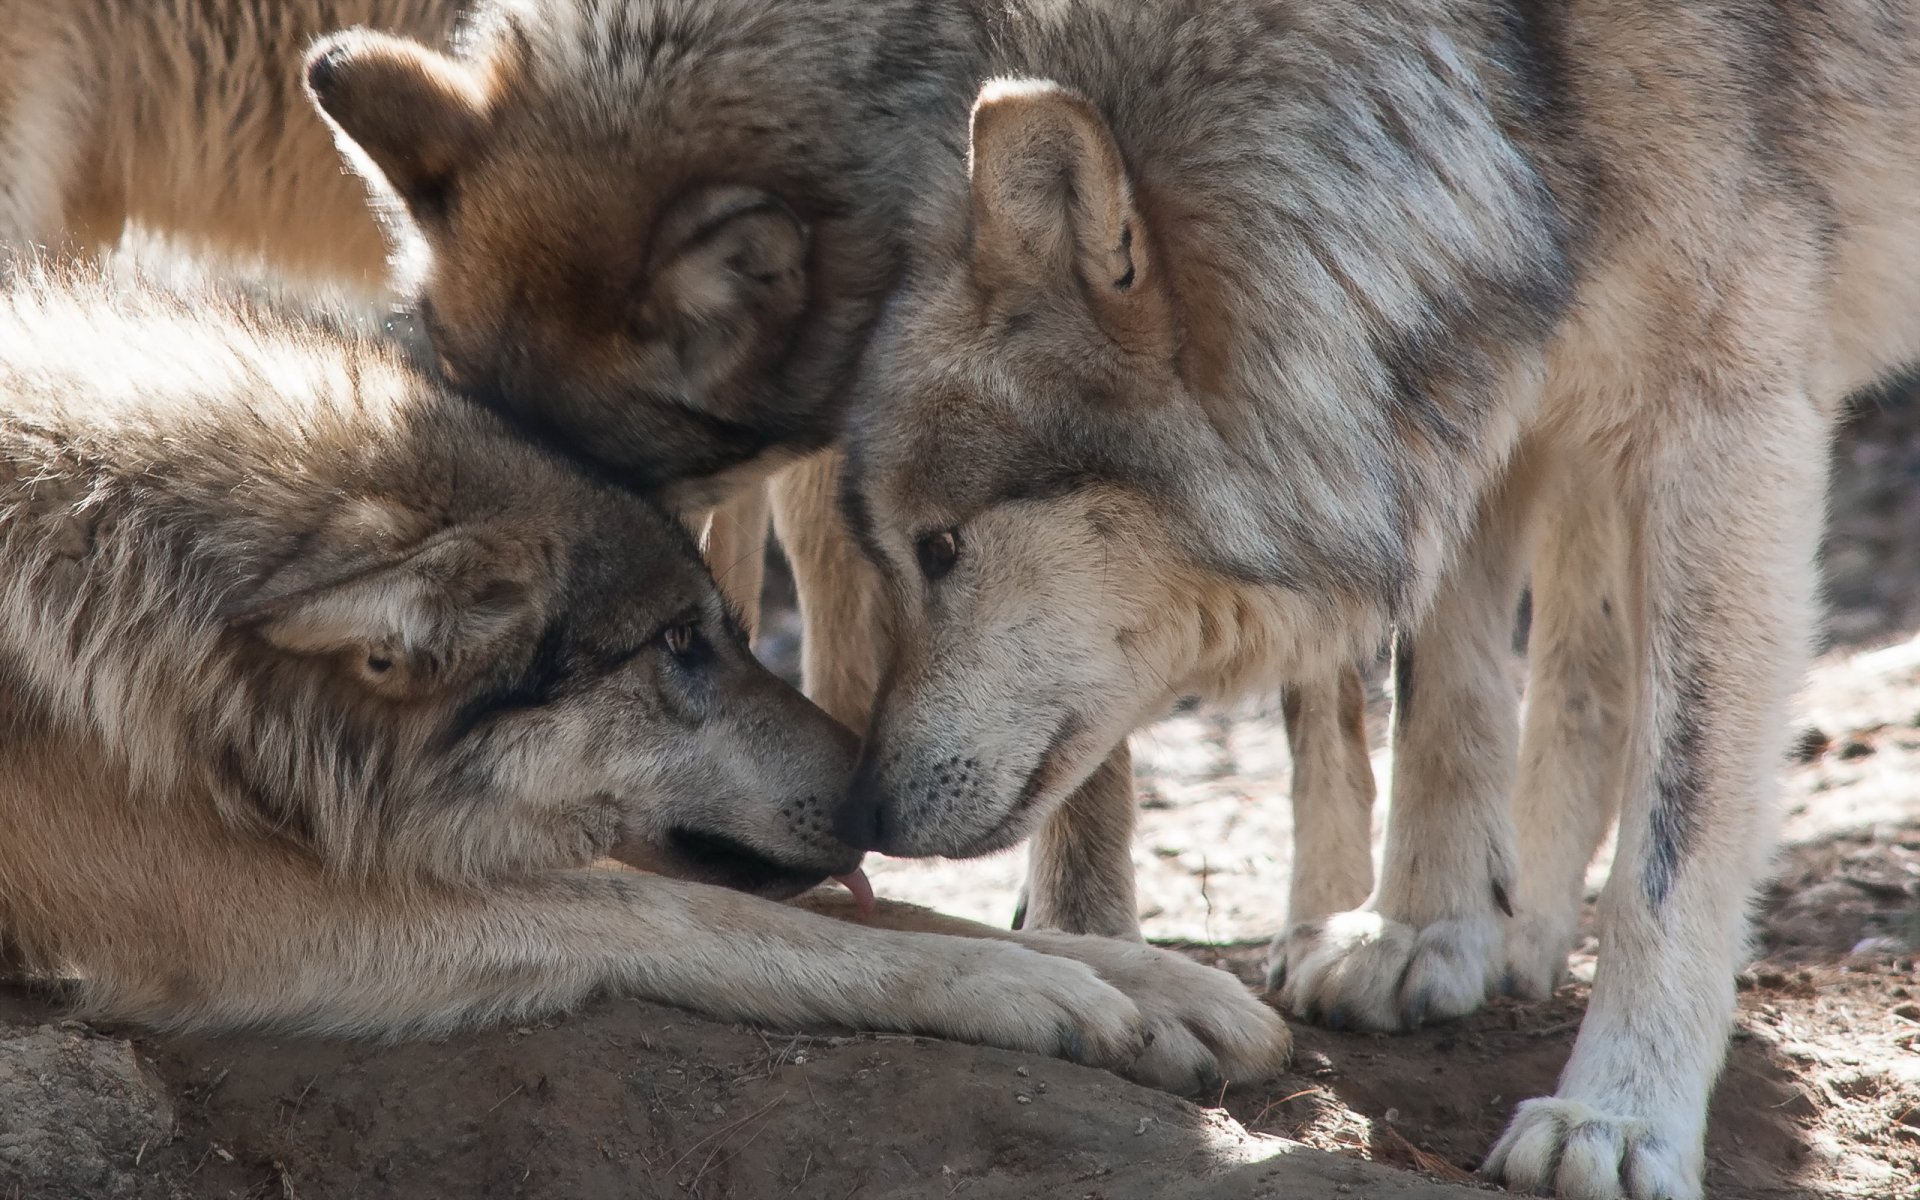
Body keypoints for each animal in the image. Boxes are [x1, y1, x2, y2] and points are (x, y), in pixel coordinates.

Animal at [0, 266, 1297, 1090]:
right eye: (676, 644)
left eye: (724, 629)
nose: (880, 800)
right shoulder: (239, 908)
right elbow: (693, 914)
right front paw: (1017, 983)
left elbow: (828, 904)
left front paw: (1154, 982)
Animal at [825, 2, 1920, 1198]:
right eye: (897, 549)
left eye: (938, 548)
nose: (864, 812)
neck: (1510, 82)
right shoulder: (1484, 383)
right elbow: (1444, 695)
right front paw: (1422, 936)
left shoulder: (1729, 419)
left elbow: (1673, 837)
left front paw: (1622, 1117)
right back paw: (1517, 931)